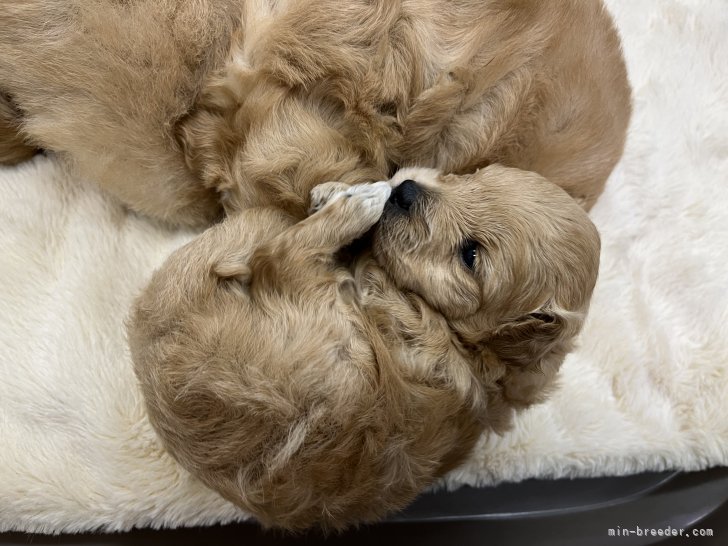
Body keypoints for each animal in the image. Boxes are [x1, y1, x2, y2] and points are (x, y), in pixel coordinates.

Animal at [129, 165, 600, 531]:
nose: (406, 191)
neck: (474, 348)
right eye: (473, 176)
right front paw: (337, 190)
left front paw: (348, 198)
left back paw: (359, 205)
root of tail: (152, 332)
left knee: (275, 256)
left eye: (470, 254)